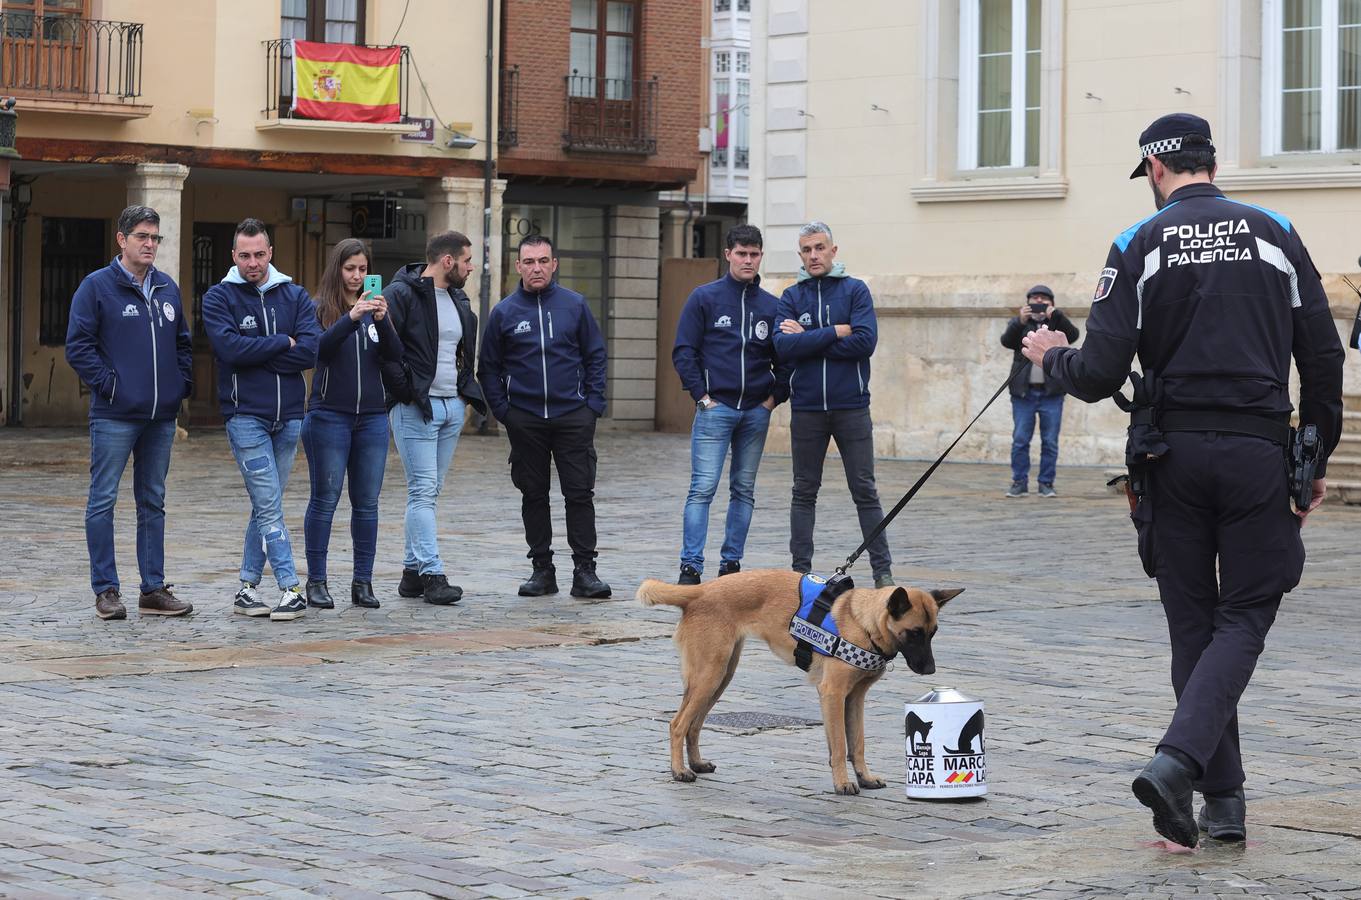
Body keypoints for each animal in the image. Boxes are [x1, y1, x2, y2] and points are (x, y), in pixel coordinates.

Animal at [634, 569, 963, 795]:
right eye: (914, 633)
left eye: (933, 633)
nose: (931, 670)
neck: (862, 623)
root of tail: (700, 591)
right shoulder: (832, 694)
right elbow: (840, 745)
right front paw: (843, 783)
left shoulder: (854, 698)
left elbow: (856, 743)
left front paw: (865, 777)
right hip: (709, 675)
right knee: (678, 724)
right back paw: (679, 771)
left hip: (720, 677)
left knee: (694, 724)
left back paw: (697, 764)